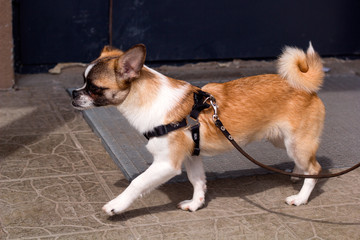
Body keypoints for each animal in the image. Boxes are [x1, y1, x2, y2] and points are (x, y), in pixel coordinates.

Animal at [71, 43, 324, 216]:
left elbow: (138, 183)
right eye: (83, 82)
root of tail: (307, 88)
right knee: (306, 164)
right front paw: (196, 203)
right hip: (282, 140)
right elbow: (197, 181)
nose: (74, 93)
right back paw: (296, 175)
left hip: (295, 143)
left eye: (94, 88)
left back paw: (301, 197)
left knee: (315, 169)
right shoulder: (192, 156)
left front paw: (117, 205)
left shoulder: (166, 164)